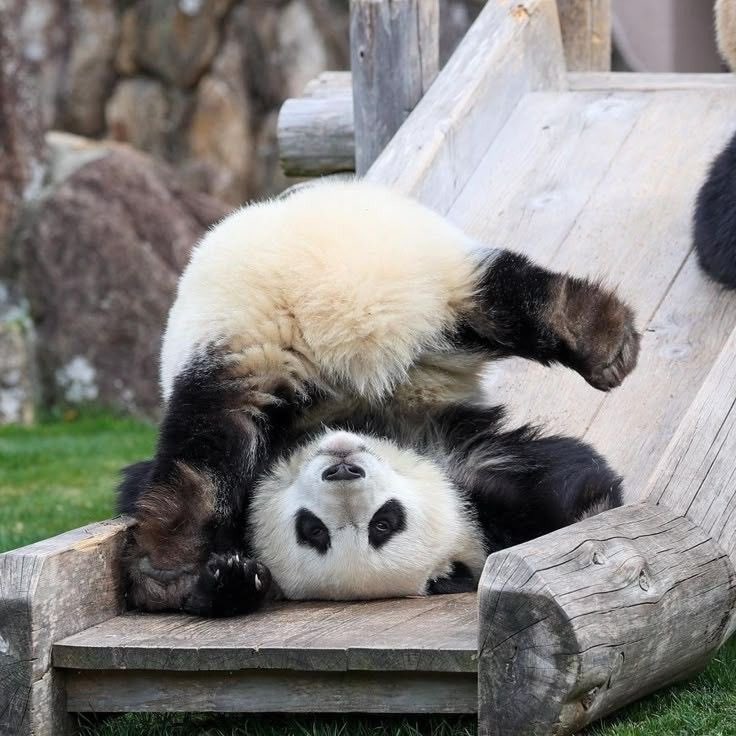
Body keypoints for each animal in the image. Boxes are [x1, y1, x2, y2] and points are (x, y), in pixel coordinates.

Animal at [119, 179, 639, 617]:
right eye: (313, 530)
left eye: (385, 521)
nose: (343, 468)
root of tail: (346, 319)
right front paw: (232, 582)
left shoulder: (465, 464)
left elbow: (569, 483)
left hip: (378, 273)